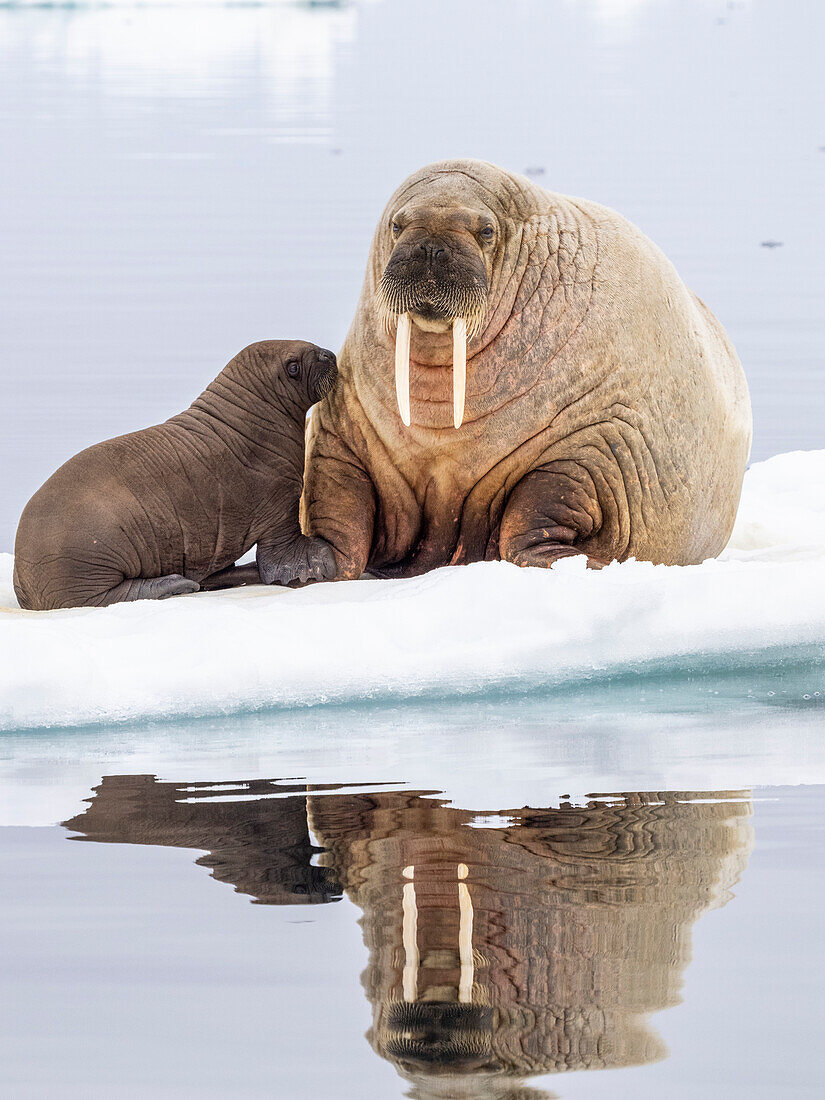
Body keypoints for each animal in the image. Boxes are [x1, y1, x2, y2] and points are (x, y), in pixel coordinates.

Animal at [13, 338, 336, 611]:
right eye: (293, 366)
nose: (329, 355)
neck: (251, 421)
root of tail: (22, 581)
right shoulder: (279, 497)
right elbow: (281, 551)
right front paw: (316, 562)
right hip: (87, 561)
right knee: (108, 596)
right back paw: (176, 584)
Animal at [305, 161, 756, 580]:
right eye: (398, 225)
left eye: (486, 231)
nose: (431, 246)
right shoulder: (340, 422)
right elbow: (337, 502)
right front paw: (317, 563)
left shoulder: (605, 437)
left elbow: (543, 501)